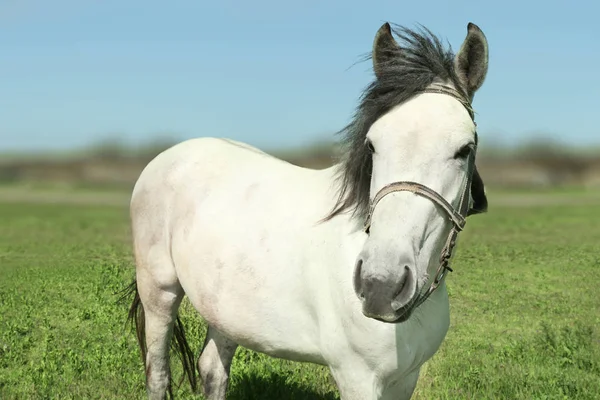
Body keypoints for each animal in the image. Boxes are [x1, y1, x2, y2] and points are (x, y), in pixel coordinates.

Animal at [124, 22, 490, 400]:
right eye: (372, 145)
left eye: (465, 149)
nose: (381, 287)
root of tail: (169, 156)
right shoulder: (357, 377)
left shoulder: (405, 379)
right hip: (159, 292)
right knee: (158, 374)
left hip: (223, 309)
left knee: (212, 369)